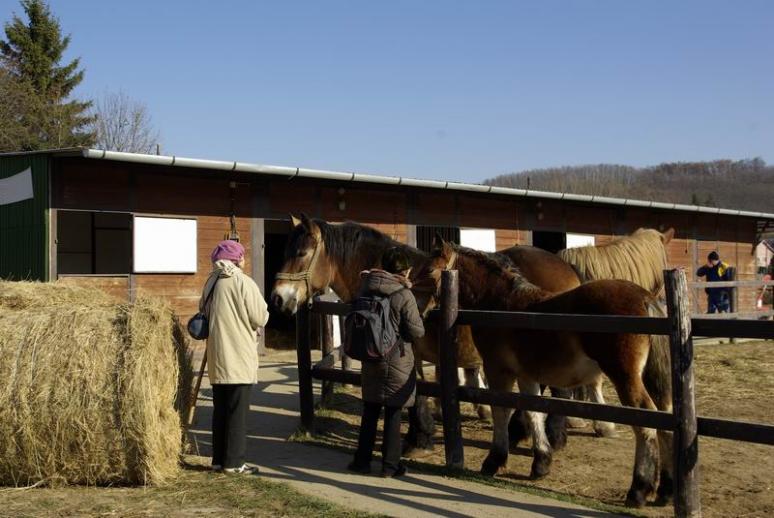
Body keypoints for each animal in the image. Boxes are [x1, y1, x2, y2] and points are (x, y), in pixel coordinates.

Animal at [272, 215, 584, 456]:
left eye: (300, 254)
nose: (277, 298)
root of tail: (566, 267)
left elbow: (416, 391)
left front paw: (419, 440)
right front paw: (417, 435)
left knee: (556, 391)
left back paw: (550, 437)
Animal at [422, 241, 676, 512]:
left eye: (429, 271)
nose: (421, 310)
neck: (501, 303)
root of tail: (645, 298)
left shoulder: (498, 369)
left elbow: (501, 410)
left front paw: (494, 460)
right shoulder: (526, 374)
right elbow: (533, 411)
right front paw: (541, 462)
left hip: (625, 376)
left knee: (645, 421)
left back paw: (639, 489)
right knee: (665, 420)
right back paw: (666, 490)